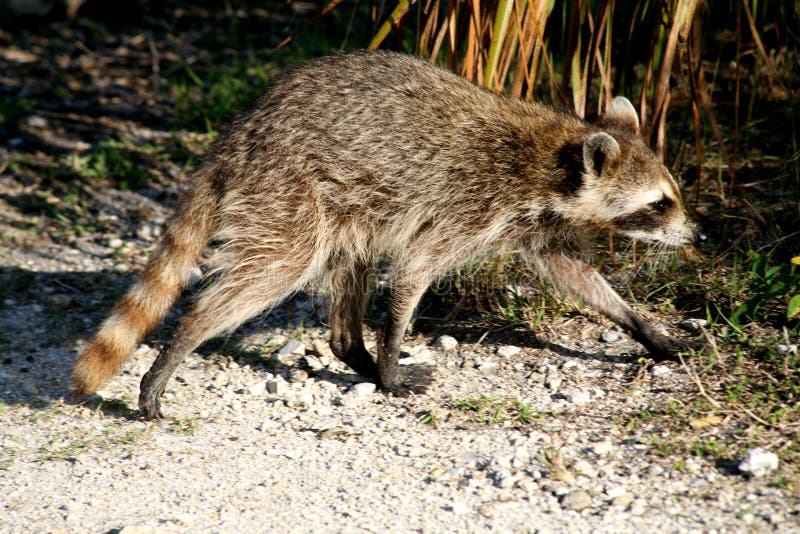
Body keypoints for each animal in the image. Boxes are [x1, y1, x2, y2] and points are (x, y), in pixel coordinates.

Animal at [72, 50, 701, 419]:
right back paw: (188, 340)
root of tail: (240, 133)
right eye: (659, 204)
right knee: (273, 269)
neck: (555, 159)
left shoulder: (539, 225)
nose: (695, 235)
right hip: (290, 191)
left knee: (347, 273)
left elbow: (577, 274)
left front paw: (643, 327)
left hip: (346, 206)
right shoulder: (468, 203)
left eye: (672, 194)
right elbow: (413, 272)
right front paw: (393, 353)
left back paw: (353, 350)